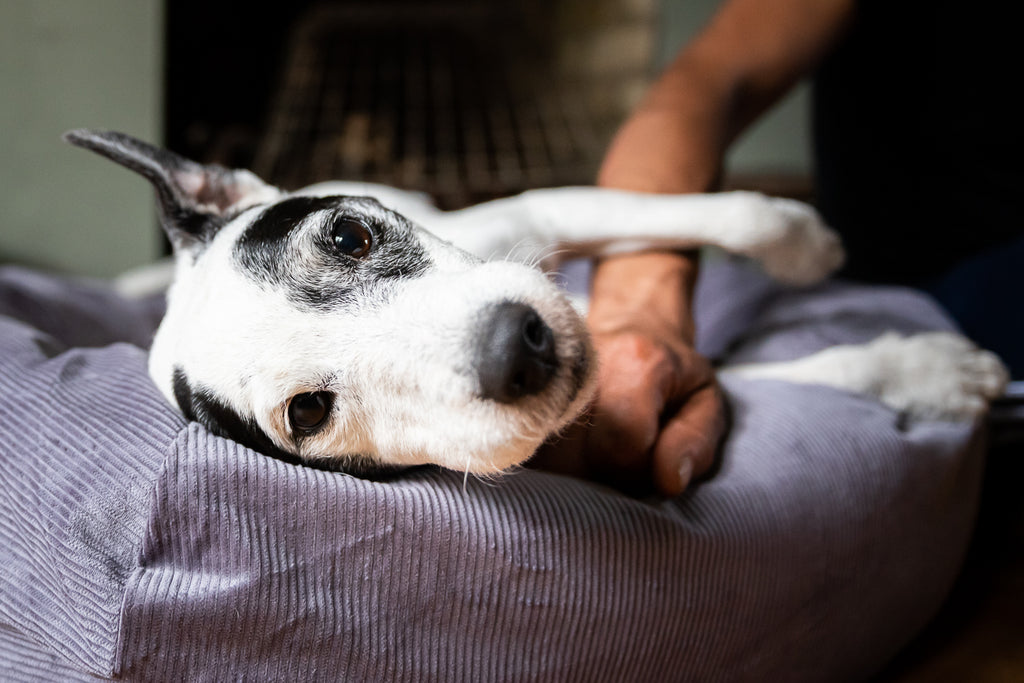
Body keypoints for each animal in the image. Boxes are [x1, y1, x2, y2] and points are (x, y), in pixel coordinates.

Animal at [68, 129, 1011, 481]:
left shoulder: (532, 217)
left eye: (347, 235)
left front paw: (801, 242)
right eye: (307, 412)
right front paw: (925, 370)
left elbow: (714, 214)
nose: (516, 346)